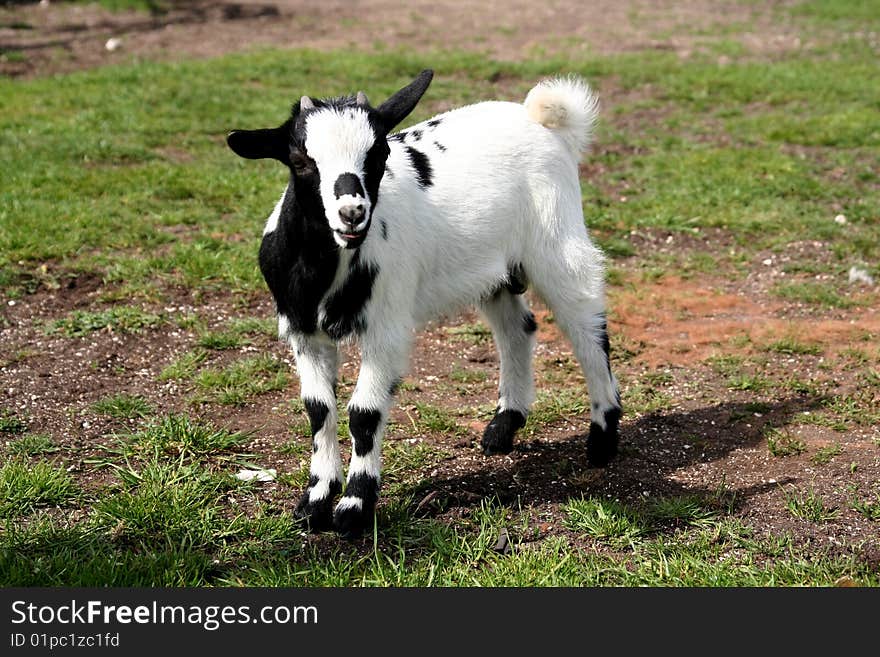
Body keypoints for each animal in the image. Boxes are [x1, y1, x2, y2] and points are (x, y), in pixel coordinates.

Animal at [229, 69, 624, 540]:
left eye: (379, 152)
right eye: (299, 159)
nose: (352, 213)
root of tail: (540, 119)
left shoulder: (386, 328)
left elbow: (363, 413)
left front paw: (355, 508)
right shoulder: (303, 332)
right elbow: (318, 410)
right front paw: (315, 503)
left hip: (557, 242)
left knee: (588, 329)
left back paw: (602, 438)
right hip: (492, 270)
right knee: (518, 328)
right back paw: (503, 428)